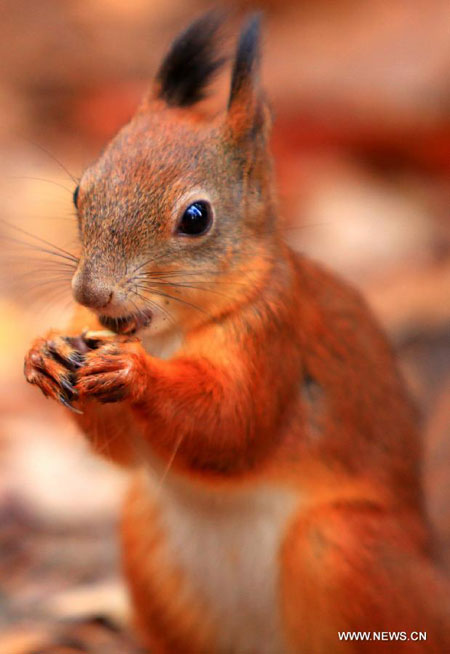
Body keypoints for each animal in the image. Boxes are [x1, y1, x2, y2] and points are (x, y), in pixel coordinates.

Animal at [23, 11, 450, 654]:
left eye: (196, 218)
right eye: (80, 191)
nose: (92, 294)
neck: (171, 333)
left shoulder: (273, 339)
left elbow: (232, 425)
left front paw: (133, 372)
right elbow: (121, 450)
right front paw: (43, 353)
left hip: (345, 550)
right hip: (146, 538)